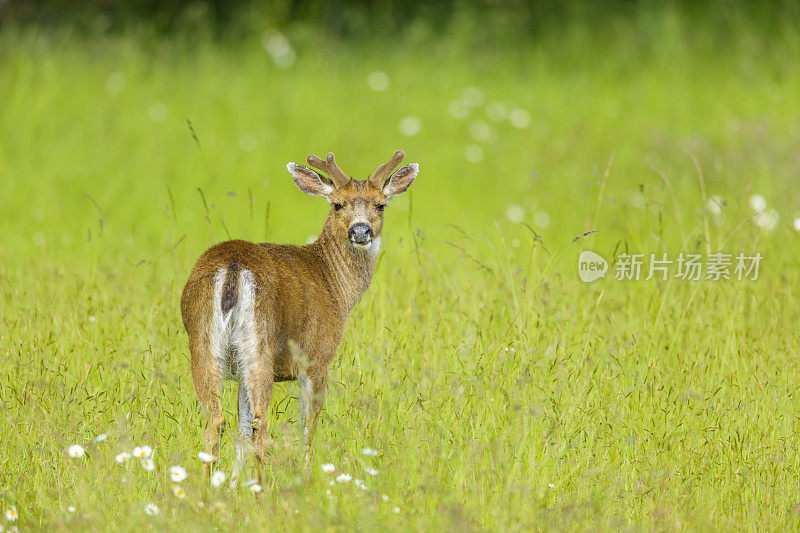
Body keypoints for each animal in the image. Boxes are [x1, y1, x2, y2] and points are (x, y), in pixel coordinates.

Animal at [180, 148, 418, 480]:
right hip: (260, 343)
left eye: (380, 204)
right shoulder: (317, 358)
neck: (335, 285)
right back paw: (262, 488)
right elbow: (308, 428)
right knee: (261, 424)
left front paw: (232, 485)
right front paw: (307, 478)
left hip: (203, 343)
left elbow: (241, 430)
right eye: (337, 204)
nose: (360, 230)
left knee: (218, 422)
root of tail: (233, 266)